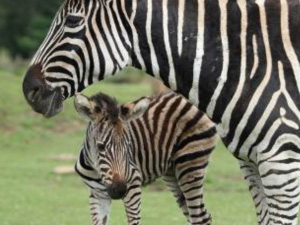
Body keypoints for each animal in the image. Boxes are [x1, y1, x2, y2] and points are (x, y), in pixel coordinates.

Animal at [74, 91, 217, 225]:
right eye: (100, 146)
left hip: (191, 164)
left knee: (198, 217)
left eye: (128, 145)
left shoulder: (133, 186)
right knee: (203, 216)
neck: (97, 171)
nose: (120, 191)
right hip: (172, 174)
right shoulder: (98, 195)